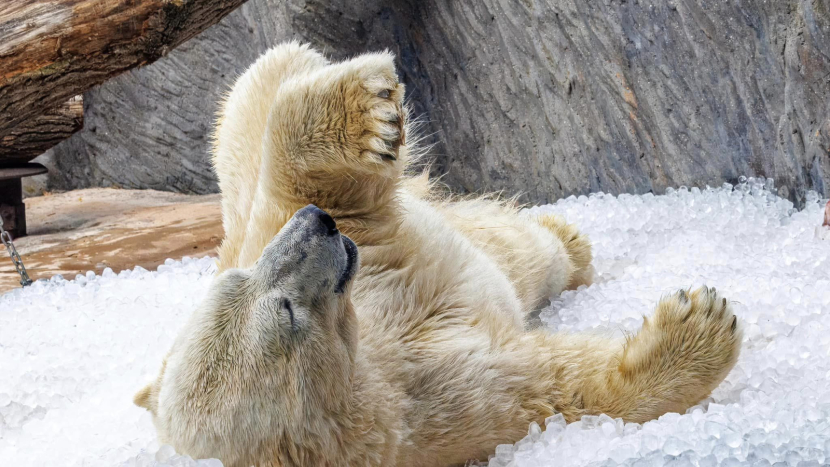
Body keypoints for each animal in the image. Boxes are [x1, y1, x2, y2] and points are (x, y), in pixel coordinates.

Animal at [135, 42, 740, 466]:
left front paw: (368, 110)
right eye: (285, 312)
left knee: (259, 89)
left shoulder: (331, 242)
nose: (318, 227)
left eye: (241, 279)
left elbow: (310, 179)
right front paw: (698, 327)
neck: (369, 351)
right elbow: (559, 388)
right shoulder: (431, 413)